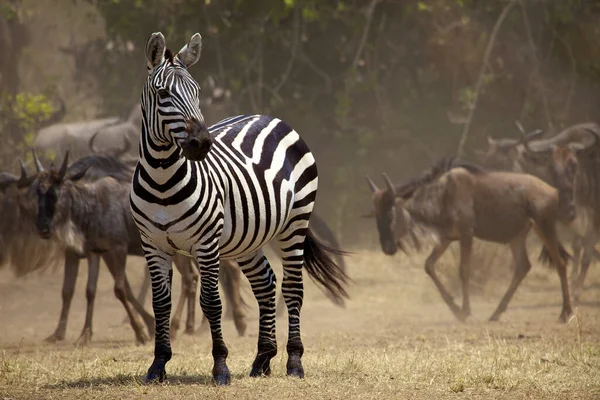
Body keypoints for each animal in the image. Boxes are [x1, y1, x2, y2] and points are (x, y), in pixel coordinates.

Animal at [129, 32, 350, 384]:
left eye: (197, 92)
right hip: (248, 239)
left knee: (292, 289)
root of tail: (270, 117)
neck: (163, 180)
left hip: (295, 223)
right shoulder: (152, 244)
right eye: (163, 93)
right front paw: (158, 365)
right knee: (265, 284)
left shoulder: (206, 243)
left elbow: (211, 301)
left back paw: (294, 362)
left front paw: (221, 367)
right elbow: (160, 303)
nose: (203, 144)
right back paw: (263, 359)